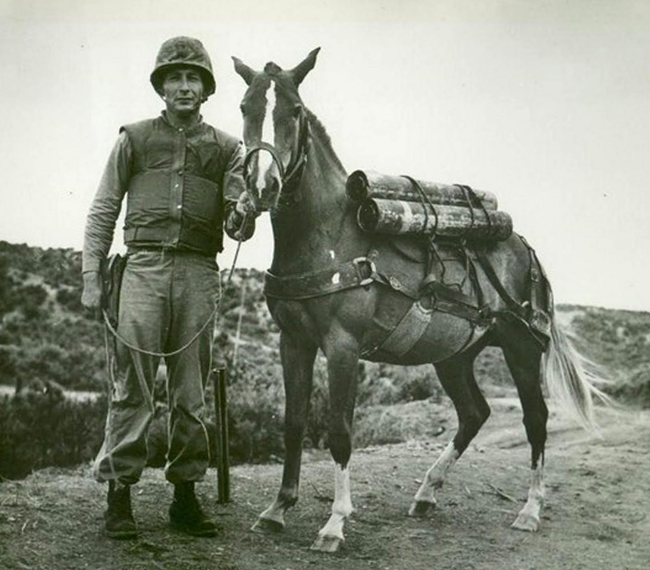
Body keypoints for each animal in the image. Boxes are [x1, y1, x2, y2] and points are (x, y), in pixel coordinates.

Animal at [232, 48, 606, 552]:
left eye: (293, 110)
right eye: (245, 108)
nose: (263, 186)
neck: (329, 236)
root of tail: (525, 248)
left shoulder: (343, 346)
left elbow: (339, 431)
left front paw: (335, 522)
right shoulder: (293, 342)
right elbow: (292, 424)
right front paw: (277, 509)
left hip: (521, 349)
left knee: (536, 419)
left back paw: (529, 510)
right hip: (454, 356)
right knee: (474, 413)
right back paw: (427, 492)